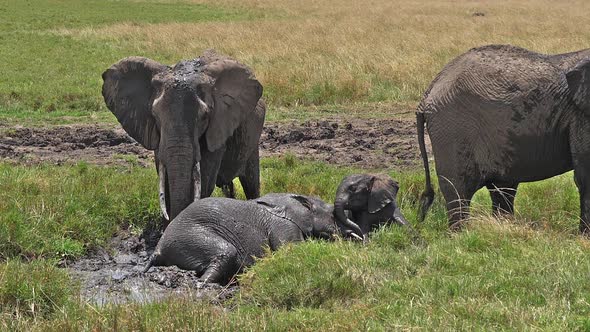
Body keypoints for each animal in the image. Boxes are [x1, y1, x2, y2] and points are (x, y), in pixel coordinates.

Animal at [103, 50, 266, 226]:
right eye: (155, 115)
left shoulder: (217, 128)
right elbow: (165, 175)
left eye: (204, 117)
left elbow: (205, 179)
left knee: (251, 183)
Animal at [143, 193, 344, 284]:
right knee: (226, 252)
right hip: (190, 236)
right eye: (332, 214)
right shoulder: (284, 226)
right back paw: (205, 284)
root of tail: (157, 249)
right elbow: (292, 250)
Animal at [416, 44, 590, 232]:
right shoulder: (580, 115)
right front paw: (583, 237)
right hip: (452, 128)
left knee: (503, 189)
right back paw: (462, 234)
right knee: (459, 190)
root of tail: (429, 90)